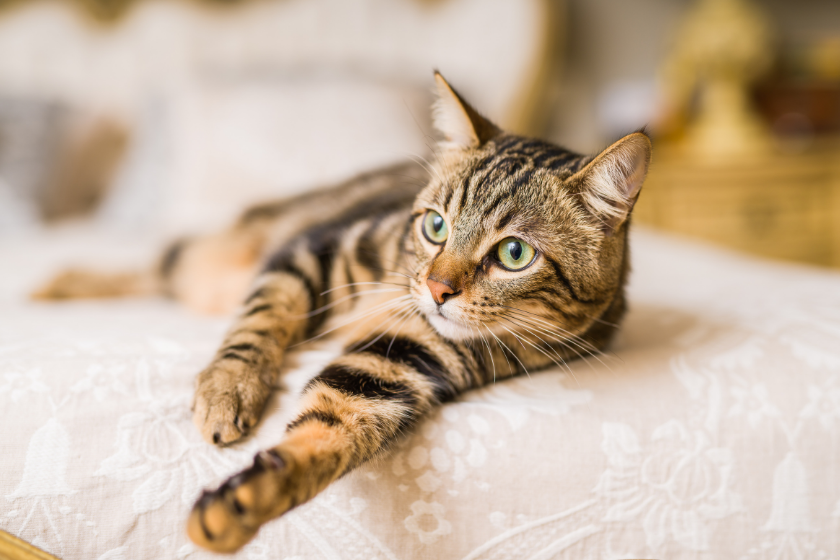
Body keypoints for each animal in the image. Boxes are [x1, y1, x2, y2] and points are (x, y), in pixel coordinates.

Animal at [34, 71, 648, 552]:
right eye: (435, 225)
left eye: (514, 254)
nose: (436, 288)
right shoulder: (310, 253)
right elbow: (260, 321)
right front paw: (229, 388)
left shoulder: (396, 364)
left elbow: (327, 428)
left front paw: (248, 499)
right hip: (223, 256)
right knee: (162, 262)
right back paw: (57, 285)